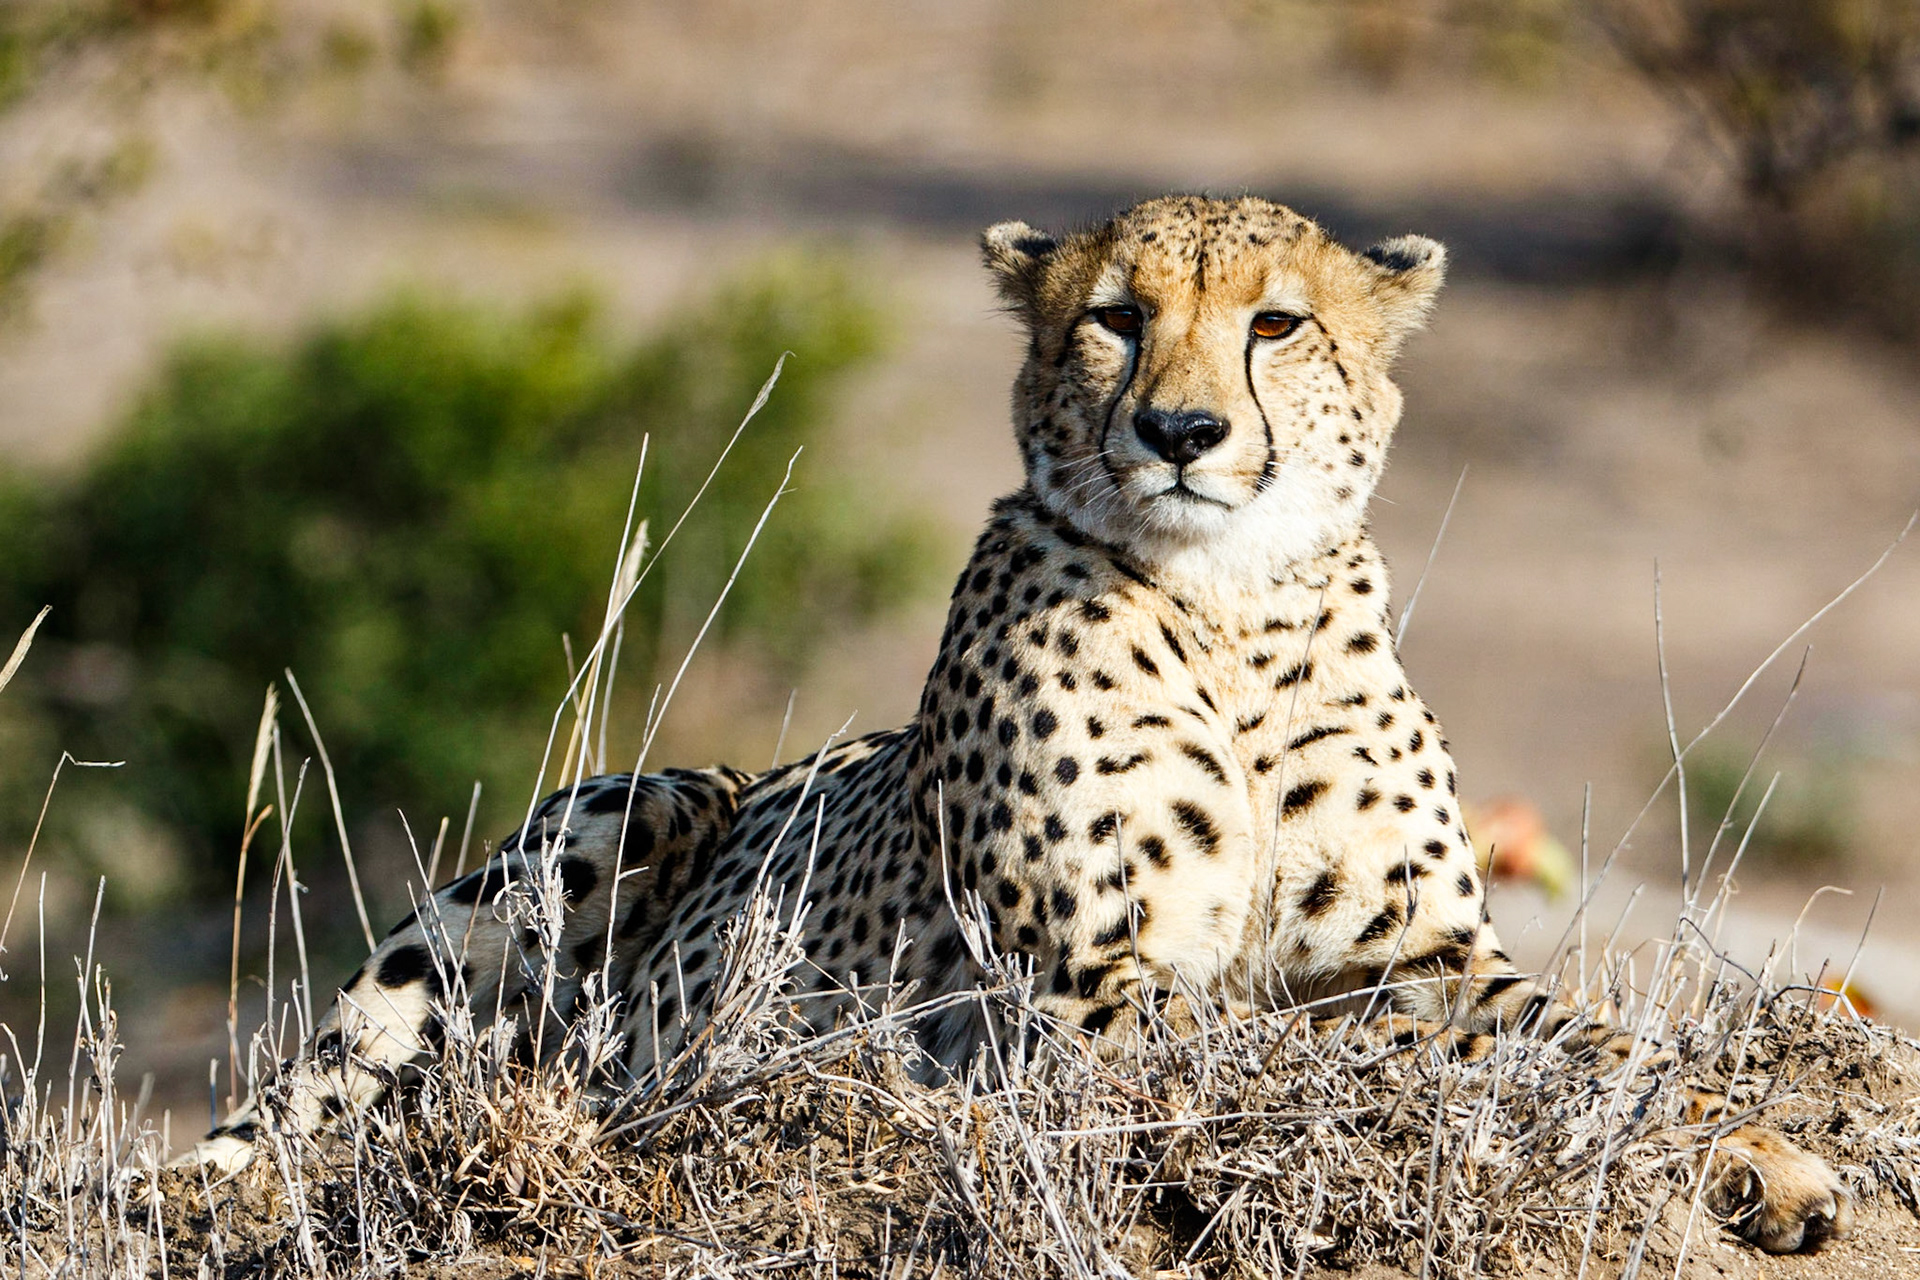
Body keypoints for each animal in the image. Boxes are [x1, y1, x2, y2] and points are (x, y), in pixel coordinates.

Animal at [180, 195, 1851, 1254]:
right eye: (1114, 319)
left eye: (1279, 325)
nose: (1181, 431)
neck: (1230, 608)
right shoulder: (1079, 987)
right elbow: (1297, 1050)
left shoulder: (1422, 952)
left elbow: (1601, 1046)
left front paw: (1766, 1156)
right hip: (615, 814)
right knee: (298, 1108)